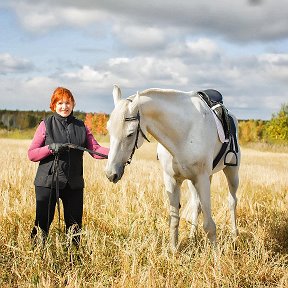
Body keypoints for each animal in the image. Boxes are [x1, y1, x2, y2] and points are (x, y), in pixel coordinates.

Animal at [104, 84, 240, 249]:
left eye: (130, 134)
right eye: (109, 130)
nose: (111, 173)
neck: (183, 133)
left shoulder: (201, 179)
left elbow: (209, 226)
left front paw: (215, 254)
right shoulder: (172, 180)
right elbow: (174, 219)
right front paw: (174, 250)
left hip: (231, 173)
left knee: (232, 202)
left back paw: (234, 236)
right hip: (197, 180)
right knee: (196, 205)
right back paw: (192, 236)